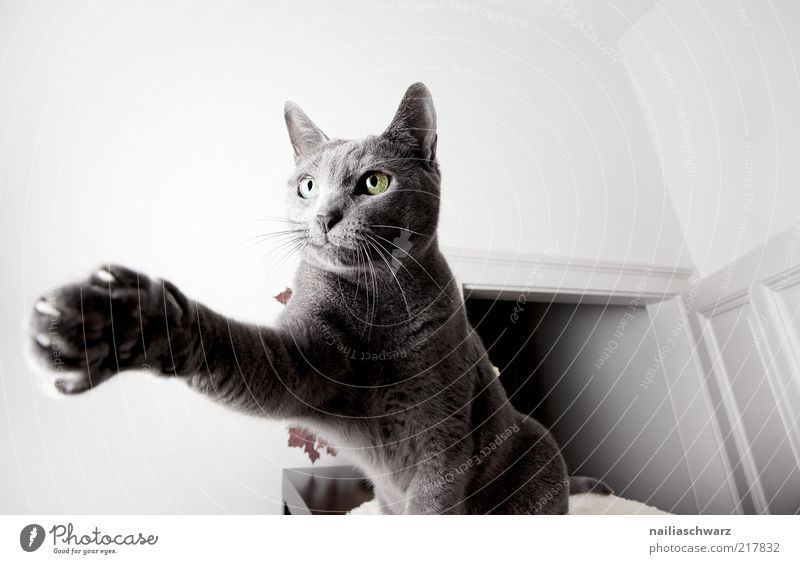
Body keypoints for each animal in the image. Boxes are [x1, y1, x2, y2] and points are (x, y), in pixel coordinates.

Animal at [28, 82, 608, 512]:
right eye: (307, 185)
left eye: (374, 183)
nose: (325, 216)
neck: (378, 305)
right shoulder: (308, 361)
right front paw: (116, 322)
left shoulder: (444, 433)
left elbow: (434, 504)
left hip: (534, 445)